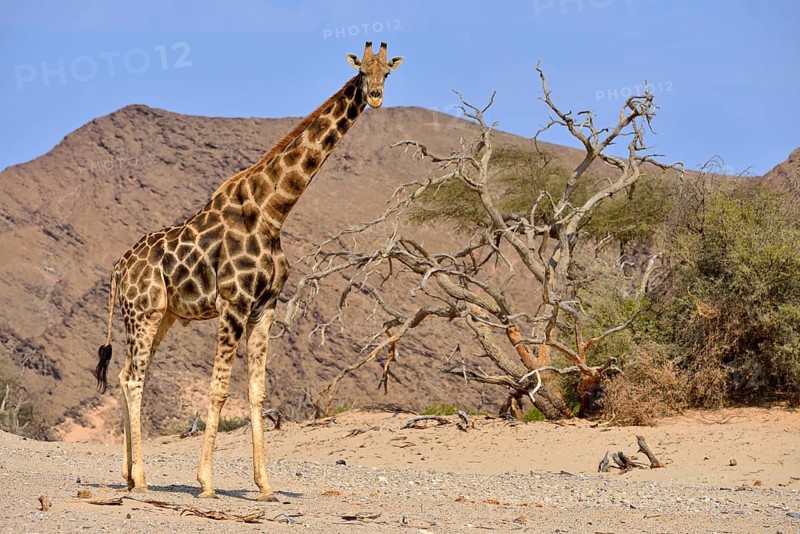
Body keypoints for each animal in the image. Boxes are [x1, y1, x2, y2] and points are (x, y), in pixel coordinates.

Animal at [93, 41, 403, 501]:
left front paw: (266, 485)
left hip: (162, 316)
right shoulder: (234, 303)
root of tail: (118, 269)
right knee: (134, 380)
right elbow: (219, 389)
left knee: (125, 374)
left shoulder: (265, 306)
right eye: (363, 70)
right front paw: (206, 483)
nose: (378, 95)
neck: (272, 212)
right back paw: (143, 480)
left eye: (389, 71)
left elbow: (256, 392)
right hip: (143, 313)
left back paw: (129, 475)